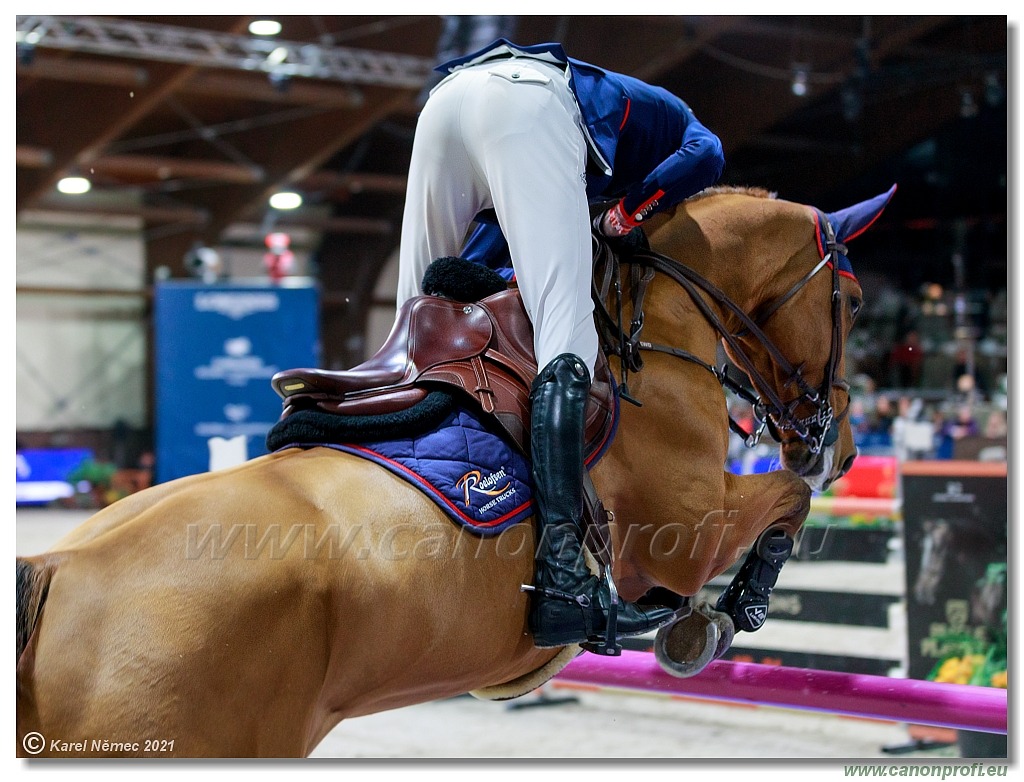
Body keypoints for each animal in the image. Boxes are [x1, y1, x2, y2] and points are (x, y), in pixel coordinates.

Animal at [19, 185, 892, 757]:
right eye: (852, 302)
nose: (843, 448)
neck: (652, 334)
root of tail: (56, 570)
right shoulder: (686, 536)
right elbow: (785, 502)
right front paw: (725, 613)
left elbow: (785, 498)